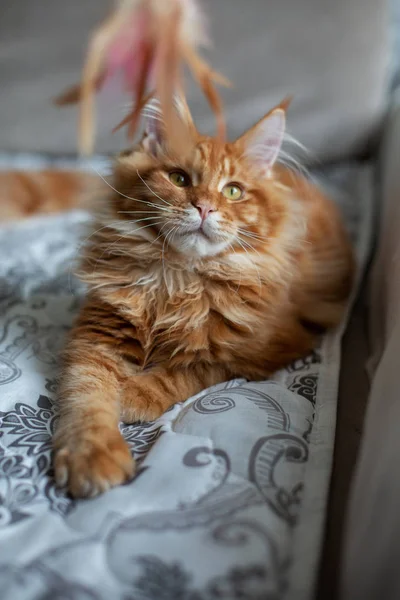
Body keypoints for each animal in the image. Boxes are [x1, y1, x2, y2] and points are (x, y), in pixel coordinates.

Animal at [52, 99, 354, 496]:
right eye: (179, 179)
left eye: (233, 192)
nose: (204, 208)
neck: (179, 280)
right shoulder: (98, 336)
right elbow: (86, 397)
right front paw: (91, 458)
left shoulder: (258, 352)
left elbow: (185, 371)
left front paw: (133, 394)